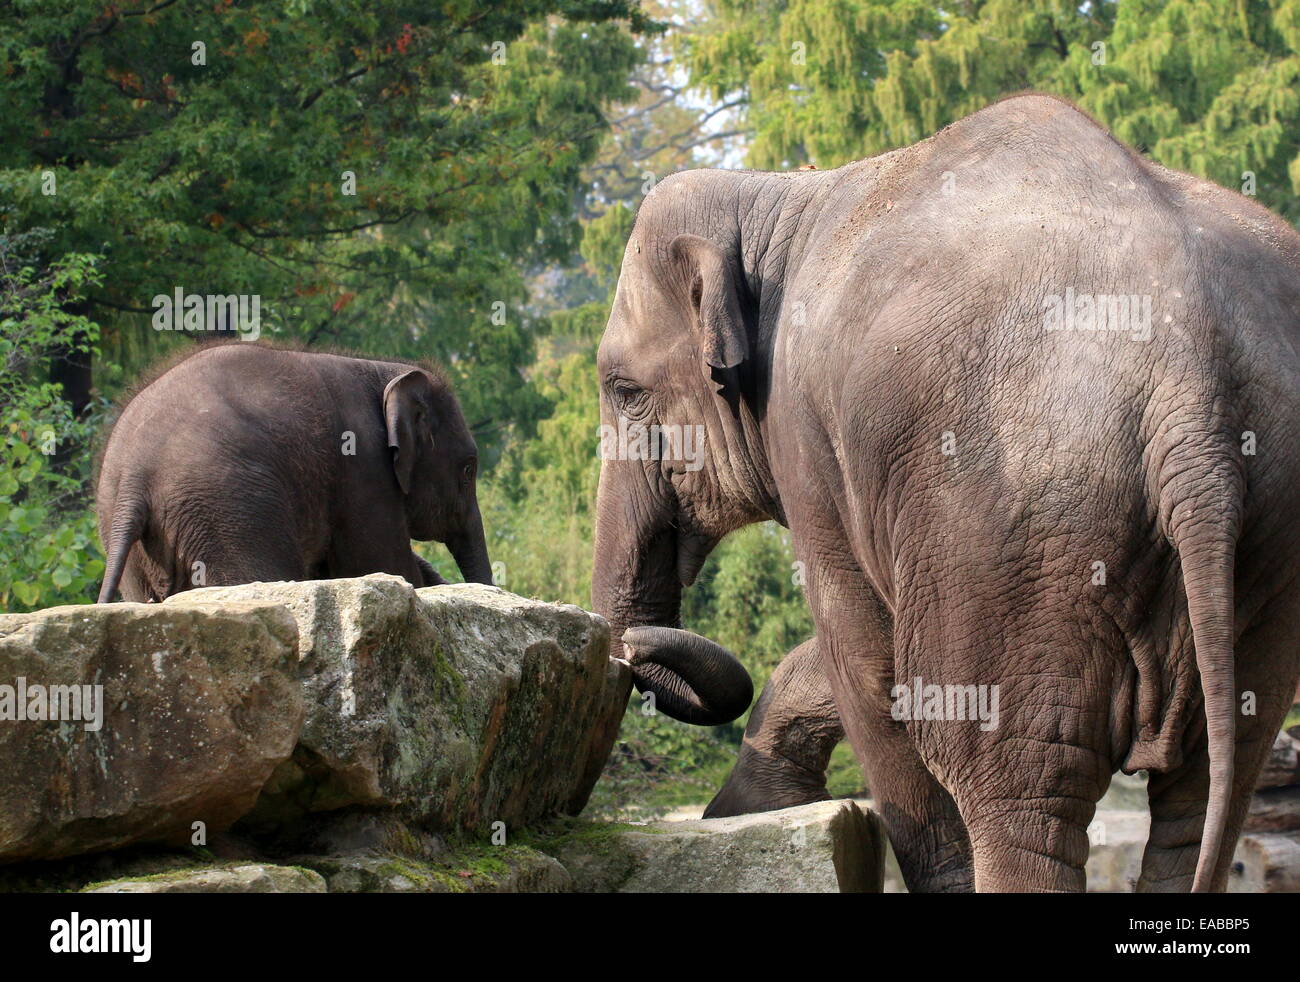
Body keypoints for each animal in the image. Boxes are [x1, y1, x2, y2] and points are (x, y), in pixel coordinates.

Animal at [94, 340, 491, 603]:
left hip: (135, 545)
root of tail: (134, 478)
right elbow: (381, 564)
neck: (382, 369)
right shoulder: (363, 469)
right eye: (468, 469)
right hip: (226, 509)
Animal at [595, 96, 1300, 894]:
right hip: (1265, 545)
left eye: (623, 391)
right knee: (1207, 785)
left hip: (1010, 531)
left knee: (1016, 782)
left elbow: (868, 662)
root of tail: (1191, 391)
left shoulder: (808, 436)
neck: (783, 195)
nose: (635, 647)